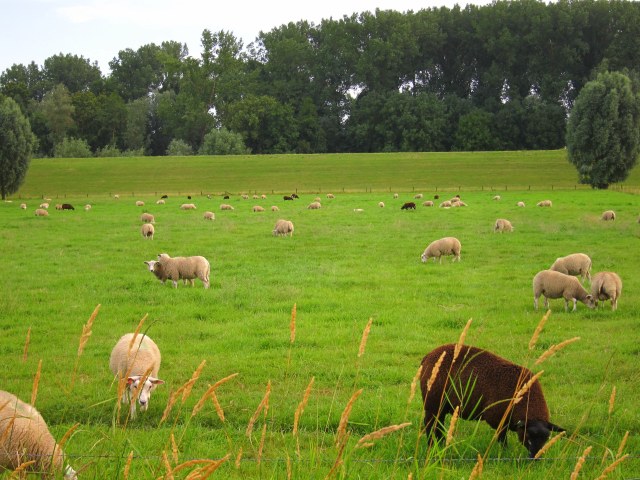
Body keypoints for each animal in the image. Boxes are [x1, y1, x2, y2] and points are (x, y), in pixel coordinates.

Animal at [420, 344, 565, 458]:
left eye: (547, 438)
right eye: (528, 436)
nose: (535, 457)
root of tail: (427, 356)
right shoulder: (497, 417)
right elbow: (502, 438)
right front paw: (504, 452)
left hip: (440, 406)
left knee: (438, 424)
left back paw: (440, 444)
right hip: (432, 403)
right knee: (430, 425)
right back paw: (432, 445)